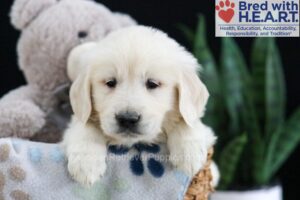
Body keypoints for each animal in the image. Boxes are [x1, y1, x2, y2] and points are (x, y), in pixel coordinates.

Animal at [63, 25, 217, 186]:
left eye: (152, 83)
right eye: (110, 82)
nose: (127, 119)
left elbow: (188, 122)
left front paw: (188, 155)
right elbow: (84, 125)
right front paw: (86, 164)